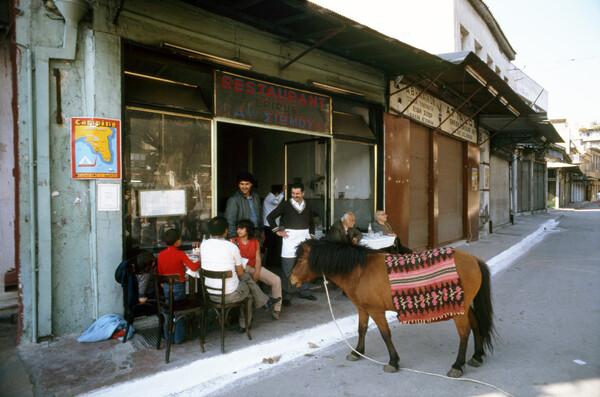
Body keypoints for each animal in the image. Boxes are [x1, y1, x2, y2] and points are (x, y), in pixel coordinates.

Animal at [288, 237, 494, 376]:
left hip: (459, 310)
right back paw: (477, 356)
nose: (291, 280)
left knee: (464, 333)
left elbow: (385, 335)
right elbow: (361, 329)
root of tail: (474, 260)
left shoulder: (376, 311)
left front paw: (393, 362)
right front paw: (357, 352)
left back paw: (457, 365)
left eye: (300, 260)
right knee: (477, 325)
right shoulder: (363, 309)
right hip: (464, 307)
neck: (360, 270)